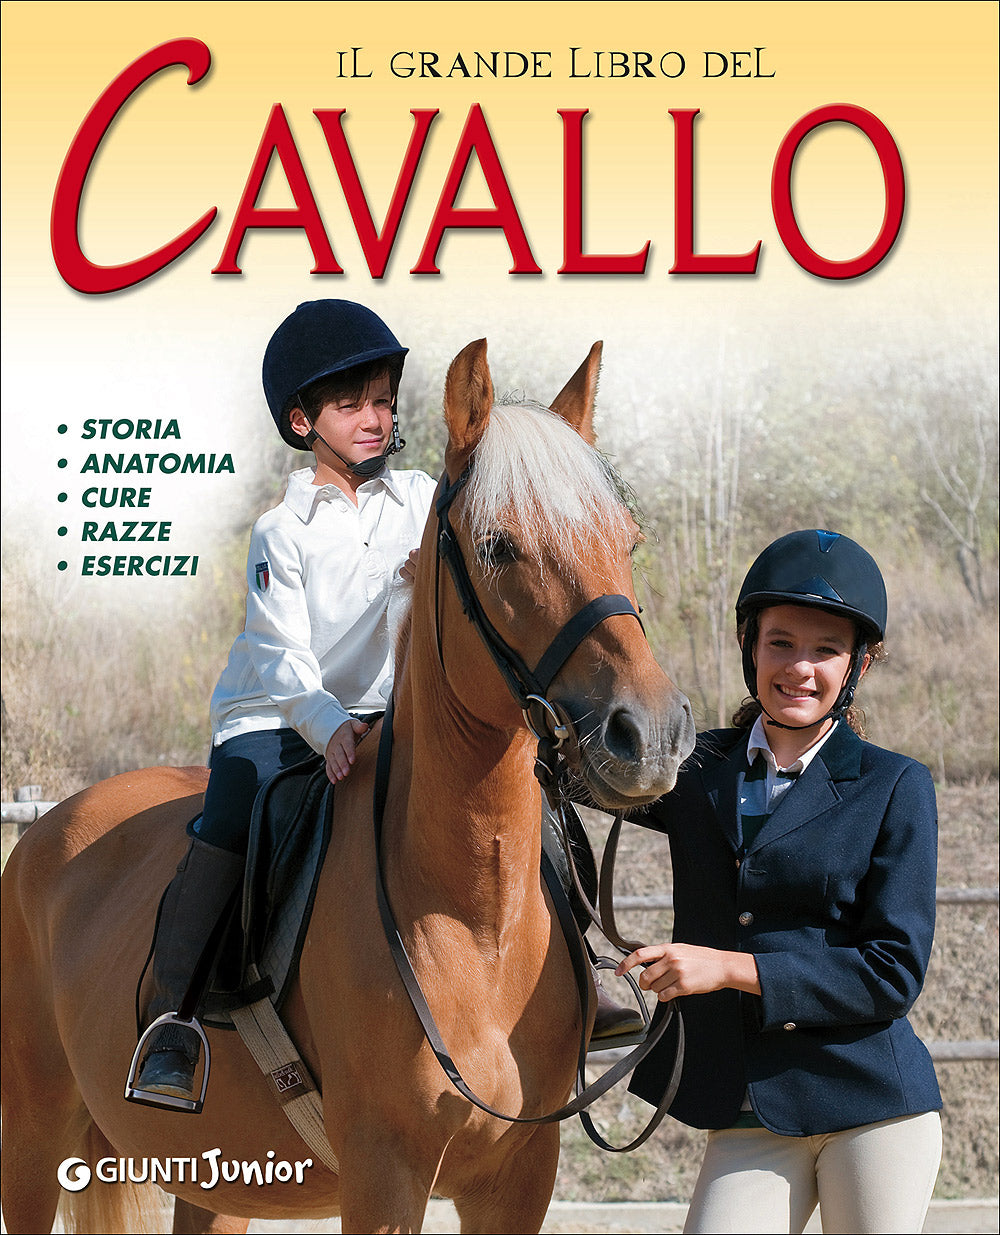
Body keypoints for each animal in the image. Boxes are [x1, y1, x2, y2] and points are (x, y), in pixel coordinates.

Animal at [1, 338, 695, 1235]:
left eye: (628, 539)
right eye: (498, 546)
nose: (651, 735)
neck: (473, 925)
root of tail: (45, 834)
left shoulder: (518, 1176)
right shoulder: (385, 1174)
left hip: (212, 1178)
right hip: (32, 1135)